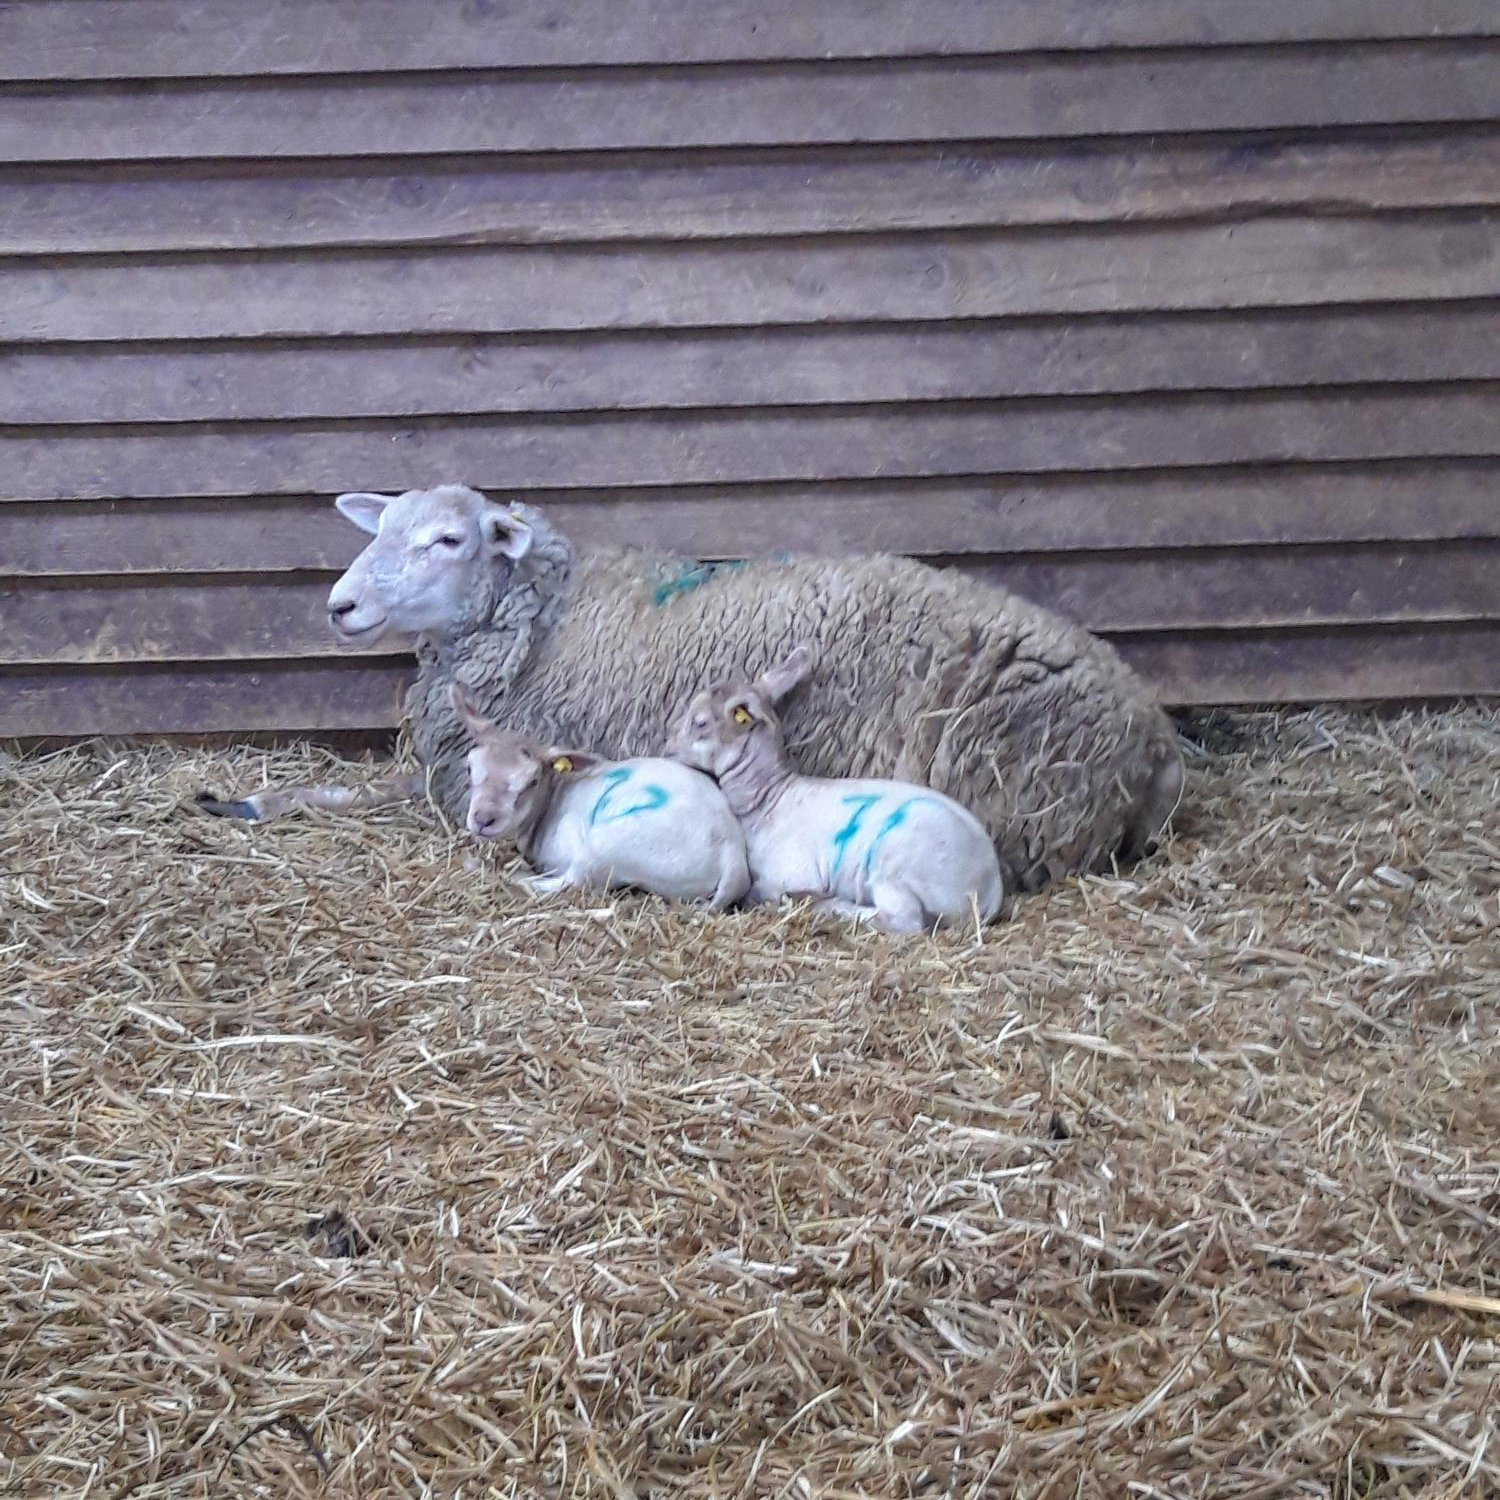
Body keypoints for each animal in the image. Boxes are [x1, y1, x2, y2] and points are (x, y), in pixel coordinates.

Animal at [444, 687, 750, 906]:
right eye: (470, 767)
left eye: (532, 780)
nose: (484, 819)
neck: (551, 803)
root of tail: (732, 857)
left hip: (607, 849)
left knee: (573, 881)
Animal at [672, 648, 1008, 936]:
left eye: (700, 722)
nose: (668, 750)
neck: (769, 798)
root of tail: (991, 889)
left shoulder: (790, 871)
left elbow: (759, 892)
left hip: (895, 869)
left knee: (904, 921)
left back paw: (831, 906)